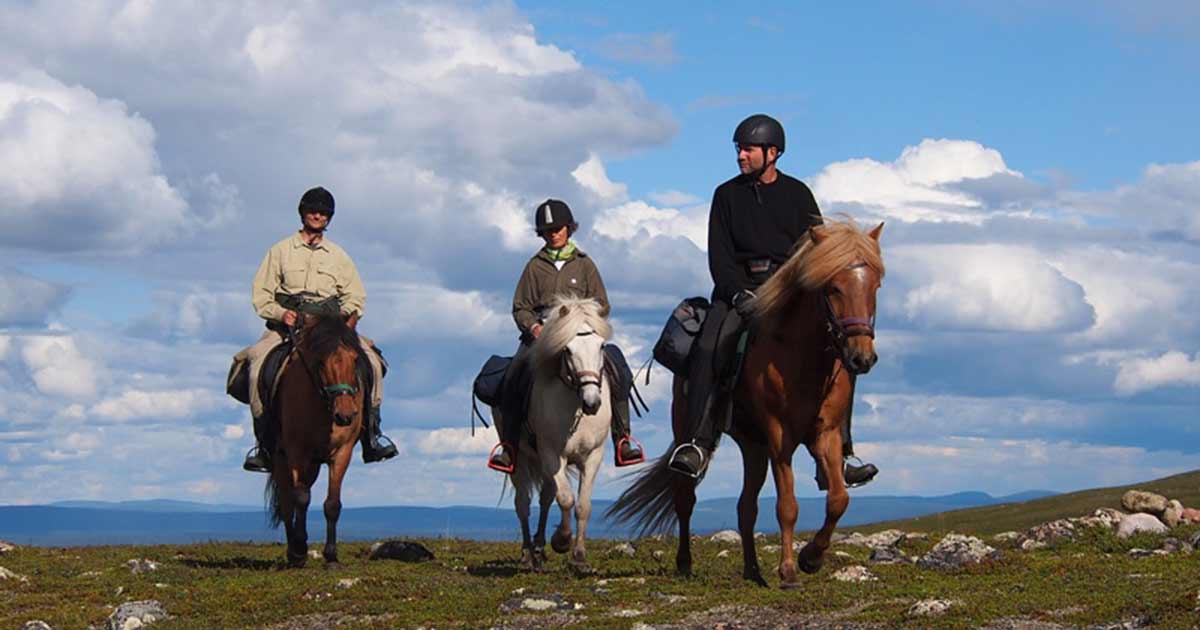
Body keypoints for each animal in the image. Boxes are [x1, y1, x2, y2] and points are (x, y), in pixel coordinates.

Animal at [265, 310, 365, 568]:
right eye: (320, 362)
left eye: (355, 359)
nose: (345, 414)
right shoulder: (296, 451)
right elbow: (300, 498)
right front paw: (300, 550)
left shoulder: (342, 452)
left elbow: (332, 504)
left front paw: (332, 556)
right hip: (281, 459)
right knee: (288, 501)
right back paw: (293, 551)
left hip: (313, 465)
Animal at [493, 296, 614, 573]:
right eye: (567, 349)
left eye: (601, 346)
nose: (592, 403)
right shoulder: (551, 454)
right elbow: (567, 499)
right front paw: (561, 541)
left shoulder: (593, 456)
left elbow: (582, 505)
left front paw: (579, 556)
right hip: (521, 460)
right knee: (523, 504)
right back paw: (528, 554)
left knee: (546, 498)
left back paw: (539, 549)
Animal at [607, 217, 885, 588]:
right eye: (832, 288)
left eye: (875, 286)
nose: (861, 358)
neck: (800, 355)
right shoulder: (780, 438)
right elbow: (787, 506)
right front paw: (789, 571)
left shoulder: (824, 434)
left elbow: (838, 498)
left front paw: (811, 558)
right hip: (691, 431)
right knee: (685, 498)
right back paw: (685, 563)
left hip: (753, 446)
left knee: (746, 507)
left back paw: (752, 571)